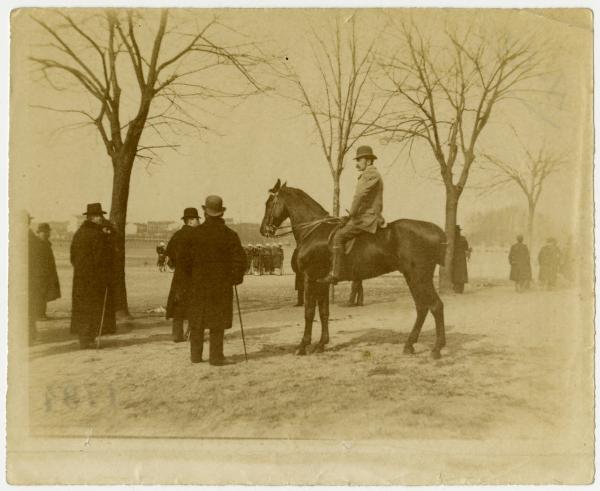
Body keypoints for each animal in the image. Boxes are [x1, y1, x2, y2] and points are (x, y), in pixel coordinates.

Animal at [260, 179, 448, 360]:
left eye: (269, 203)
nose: (263, 230)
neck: (314, 231)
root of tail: (436, 231)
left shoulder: (310, 278)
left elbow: (309, 312)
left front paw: (302, 346)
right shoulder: (322, 282)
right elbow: (324, 312)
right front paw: (321, 344)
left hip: (419, 277)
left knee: (435, 306)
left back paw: (436, 349)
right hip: (412, 277)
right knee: (422, 307)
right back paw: (410, 345)